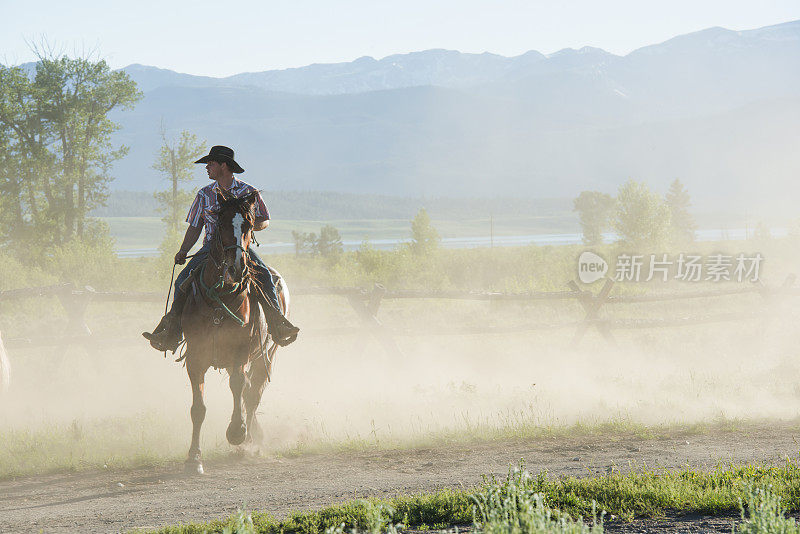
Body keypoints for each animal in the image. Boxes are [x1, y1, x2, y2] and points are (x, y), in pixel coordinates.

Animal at [180, 191, 290, 476]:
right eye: (220, 224)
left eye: (249, 225)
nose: (236, 267)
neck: (220, 296)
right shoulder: (195, 358)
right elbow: (198, 408)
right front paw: (194, 458)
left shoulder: (240, 352)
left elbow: (239, 386)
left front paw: (237, 432)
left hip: (267, 354)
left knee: (253, 393)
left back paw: (250, 439)